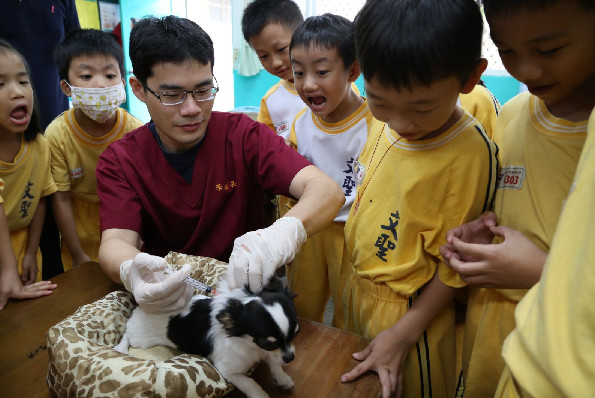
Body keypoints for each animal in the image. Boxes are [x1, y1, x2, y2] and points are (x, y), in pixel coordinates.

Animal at [114, 276, 300, 398]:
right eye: (268, 343)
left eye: (295, 334)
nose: (290, 357)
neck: (251, 346)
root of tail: (141, 306)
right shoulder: (230, 371)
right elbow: (250, 383)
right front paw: (261, 394)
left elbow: (274, 362)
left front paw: (282, 378)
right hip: (140, 338)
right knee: (127, 334)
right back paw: (121, 348)